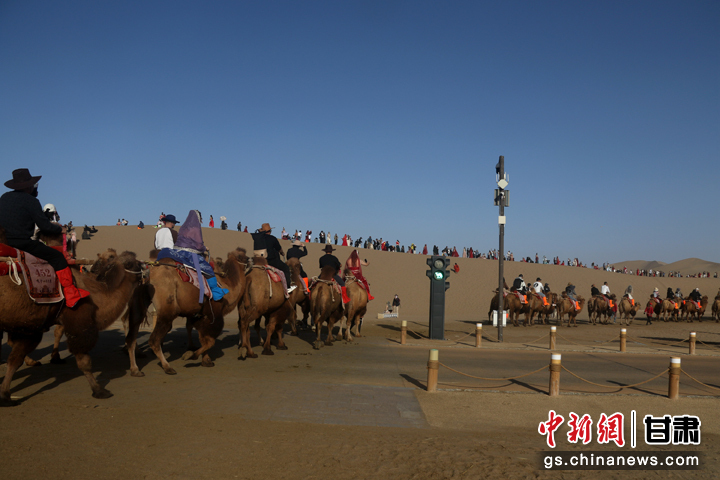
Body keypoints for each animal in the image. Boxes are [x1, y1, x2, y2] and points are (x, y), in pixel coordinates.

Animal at [0, 240, 143, 404]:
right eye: (131, 262)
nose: (144, 268)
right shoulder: (79, 322)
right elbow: (84, 361)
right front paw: (99, 390)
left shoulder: (32, 327)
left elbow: (14, 360)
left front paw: (5, 394)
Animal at [128, 248, 252, 376]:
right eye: (243, 256)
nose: (251, 259)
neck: (228, 289)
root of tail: (147, 275)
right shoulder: (214, 316)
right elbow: (210, 341)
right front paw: (191, 355)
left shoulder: (199, 316)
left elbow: (204, 339)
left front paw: (206, 361)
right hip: (168, 308)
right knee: (154, 339)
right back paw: (167, 367)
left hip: (139, 302)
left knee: (132, 335)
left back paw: (135, 369)